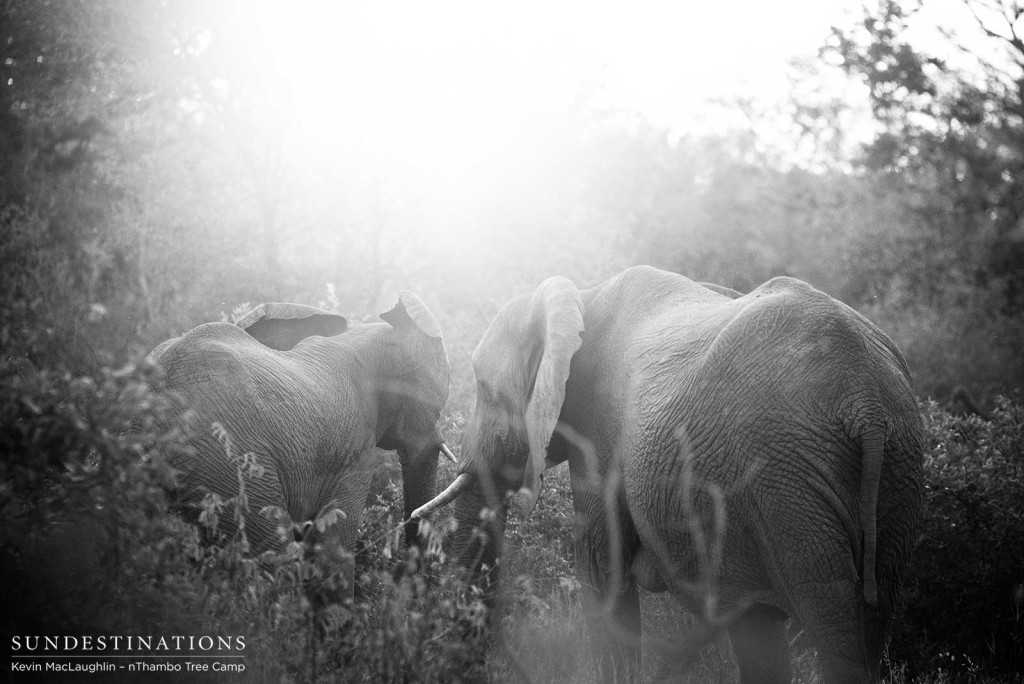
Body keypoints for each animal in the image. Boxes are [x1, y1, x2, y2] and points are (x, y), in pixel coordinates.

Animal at [415, 266, 921, 684]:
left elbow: (601, 569)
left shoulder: (599, 429)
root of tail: (866, 400)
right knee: (851, 618)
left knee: (833, 626)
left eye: (484, 389)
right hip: (893, 472)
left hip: (788, 480)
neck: (580, 296)